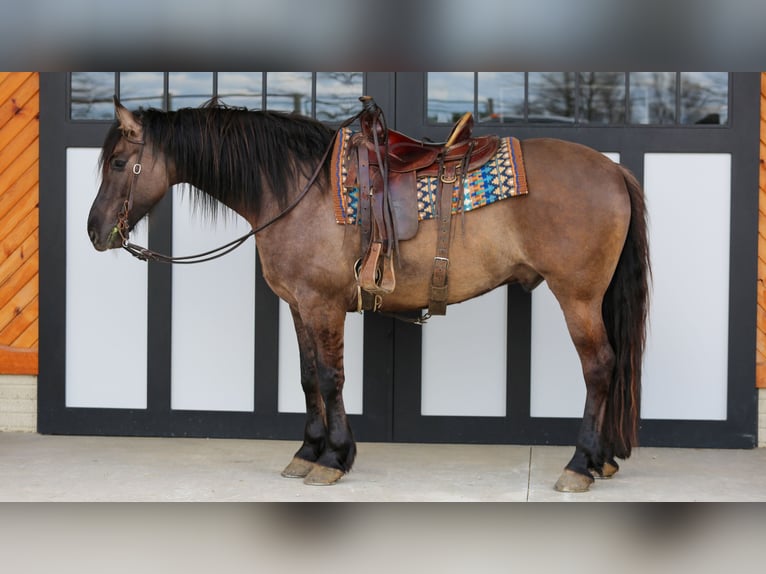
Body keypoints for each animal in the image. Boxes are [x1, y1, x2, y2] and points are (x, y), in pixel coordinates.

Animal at [87, 97, 650, 493]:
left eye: (117, 162)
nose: (94, 231)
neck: (295, 188)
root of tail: (613, 170)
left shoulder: (322, 304)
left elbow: (331, 377)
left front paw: (334, 458)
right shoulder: (298, 304)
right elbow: (307, 377)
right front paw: (308, 452)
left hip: (577, 297)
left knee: (599, 367)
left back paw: (580, 464)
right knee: (612, 366)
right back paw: (602, 460)